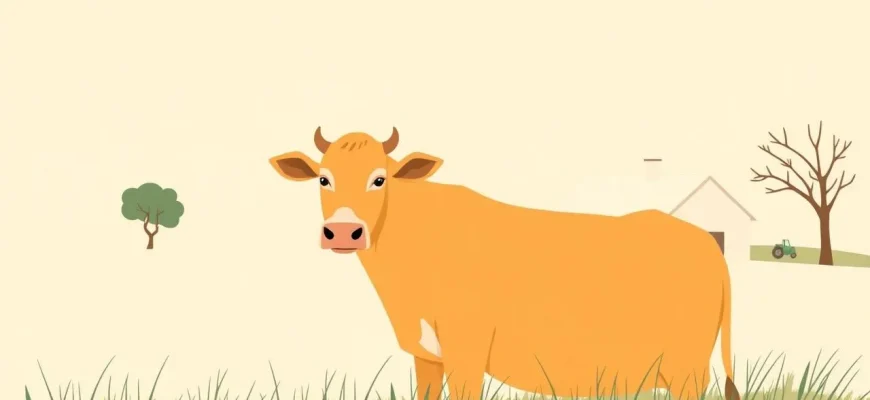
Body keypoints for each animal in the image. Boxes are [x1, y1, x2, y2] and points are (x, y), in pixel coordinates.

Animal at [269, 127, 740, 400]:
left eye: (379, 179)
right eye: (323, 178)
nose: (343, 231)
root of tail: (703, 241)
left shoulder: (466, 347)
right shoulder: (427, 355)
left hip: (687, 368)